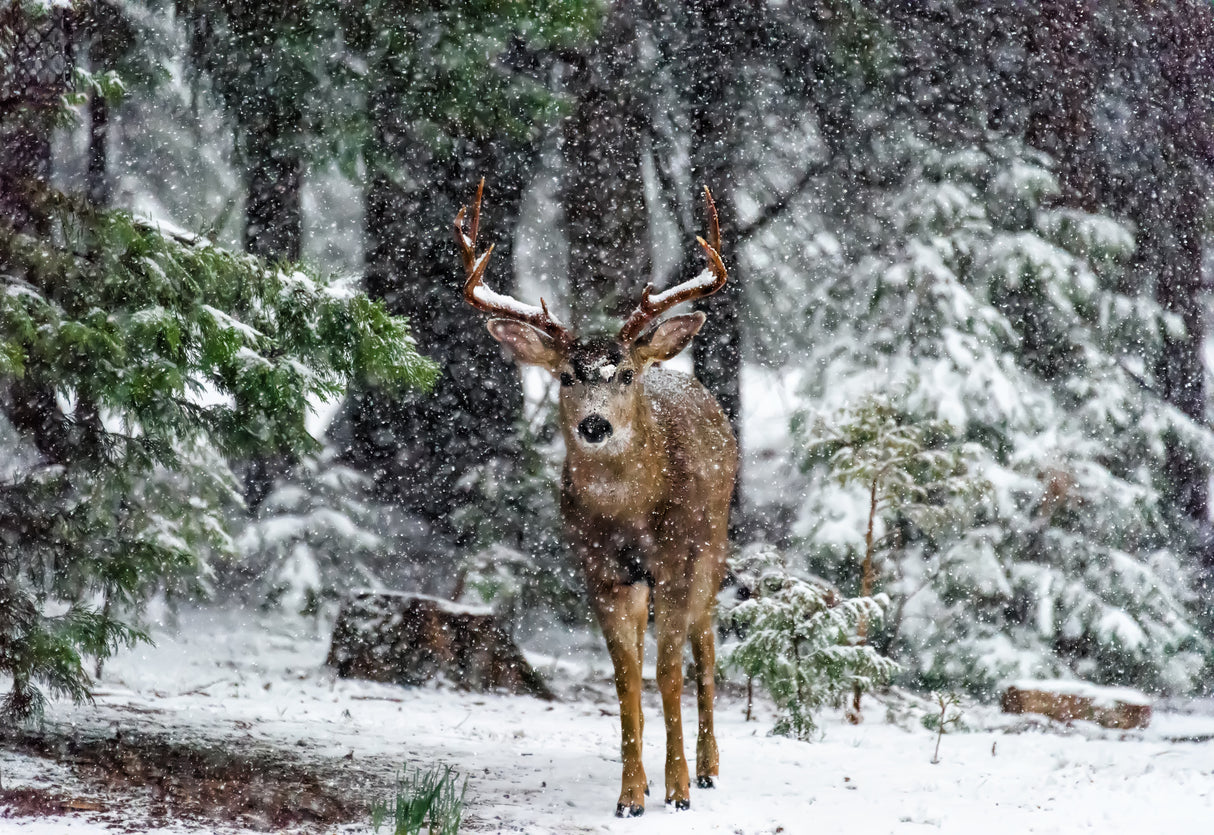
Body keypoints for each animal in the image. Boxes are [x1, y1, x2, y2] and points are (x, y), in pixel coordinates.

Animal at [456, 180, 737, 817]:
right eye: (566, 376)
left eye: (625, 374)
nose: (594, 425)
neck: (630, 516)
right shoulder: (600, 569)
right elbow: (626, 676)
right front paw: (631, 794)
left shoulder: (676, 559)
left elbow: (669, 671)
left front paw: (679, 789)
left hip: (713, 547)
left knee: (706, 652)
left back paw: (710, 768)